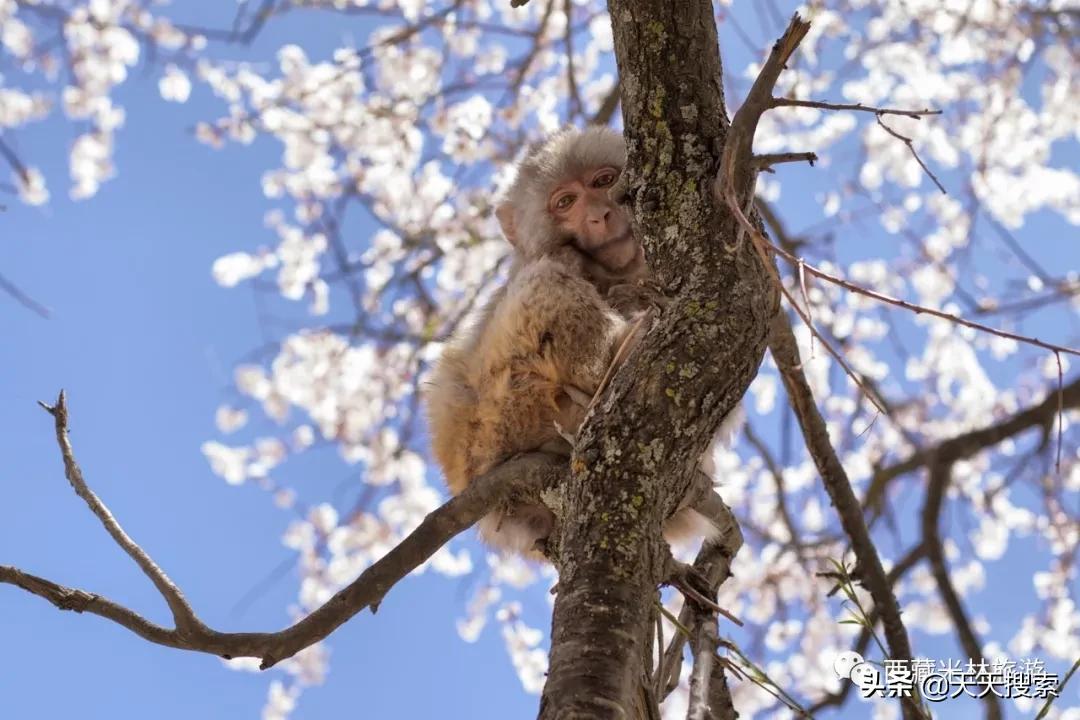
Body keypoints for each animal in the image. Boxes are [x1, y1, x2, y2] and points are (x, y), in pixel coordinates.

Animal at [425, 126, 738, 557]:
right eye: (566, 203)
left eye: (603, 182)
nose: (598, 215)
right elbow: (552, 269)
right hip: (494, 414)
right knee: (551, 275)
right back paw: (608, 367)